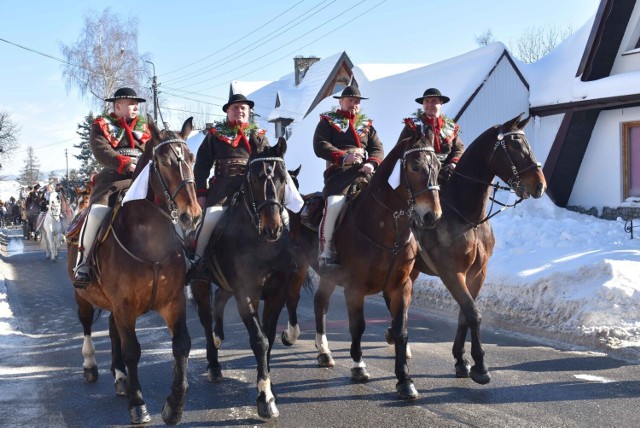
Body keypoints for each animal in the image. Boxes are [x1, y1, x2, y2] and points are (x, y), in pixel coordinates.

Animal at [65, 117, 200, 424]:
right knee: (87, 324)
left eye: (191, 158)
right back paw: (91, 365)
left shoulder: (173, 301)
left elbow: (181, 345)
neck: (149, 242)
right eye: (165, 162)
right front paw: (138, 405)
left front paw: (174, 406)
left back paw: (120, 378)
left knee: (112, 330)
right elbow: (132, 351)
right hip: (82, 295)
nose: (192, 215)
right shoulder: (125, 305)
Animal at [284, 129, 440, 400]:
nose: (432, 215)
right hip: (298, 266)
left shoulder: (401, 286)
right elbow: (358, 326)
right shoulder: (354, 287)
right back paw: (292, 334)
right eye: (415, 165)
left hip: (327, 275)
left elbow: (401, 330)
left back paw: (324, 351)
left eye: (439, 166)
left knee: (319, 303)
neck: (384, 228)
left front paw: (405, 379)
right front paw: (358, 367)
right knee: (293, 298)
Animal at [410, 113, 544, 384]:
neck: (464, 215)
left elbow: (465, 314)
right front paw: (480, 365)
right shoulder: (451, 272)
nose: (540, 185)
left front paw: (462, 361)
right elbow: (472, 313)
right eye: (515, 145)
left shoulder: (478, 272)